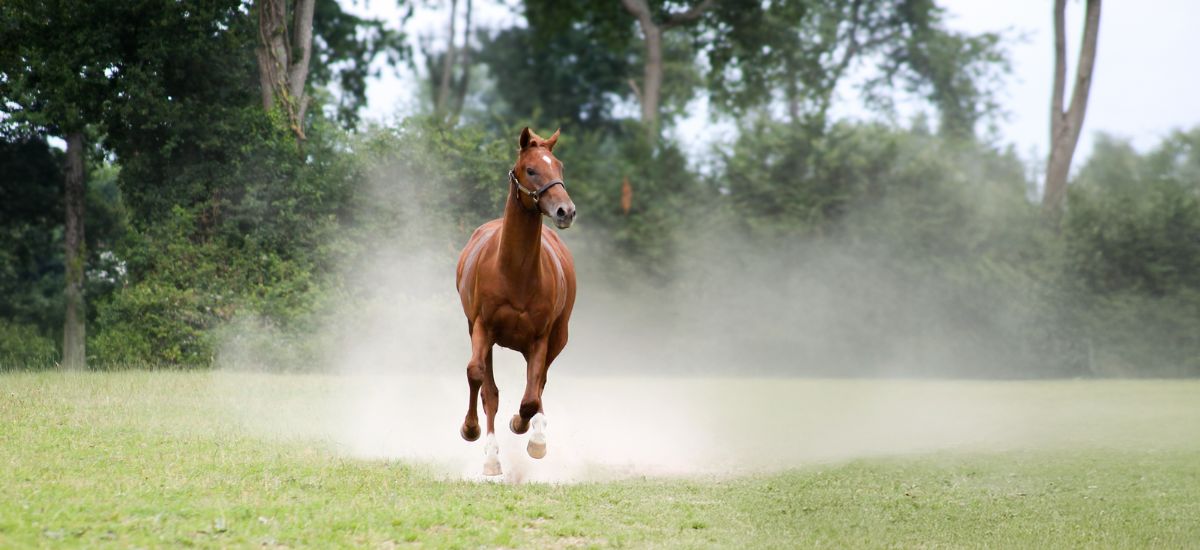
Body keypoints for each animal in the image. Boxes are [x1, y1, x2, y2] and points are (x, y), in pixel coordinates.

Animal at [453, 126, 576, 475]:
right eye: (531, 169)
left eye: (560, 167)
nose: (566, 211)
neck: (514, 272)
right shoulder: (481, 327)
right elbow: (479, 379)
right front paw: (473, 433)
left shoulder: (541, 337)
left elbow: (531, 396)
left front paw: (526, 429)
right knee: (491, 388)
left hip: (556, 337)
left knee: (539, 383)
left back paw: (536, 434)